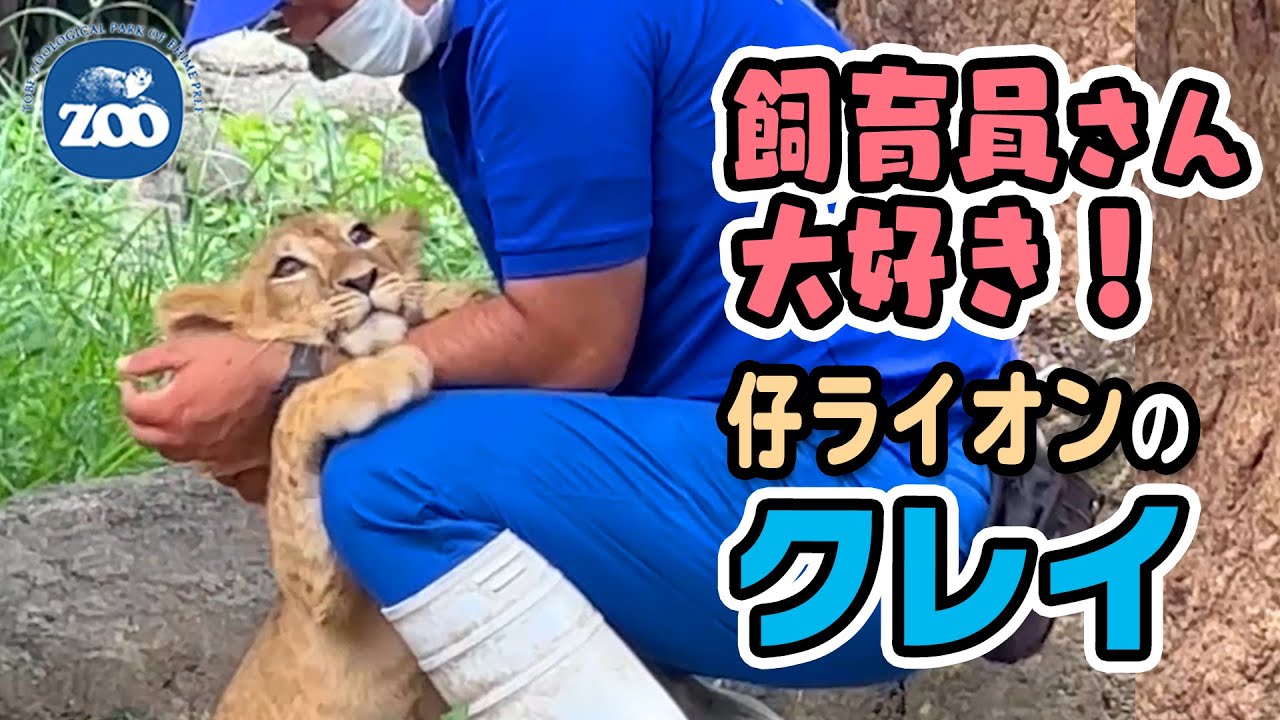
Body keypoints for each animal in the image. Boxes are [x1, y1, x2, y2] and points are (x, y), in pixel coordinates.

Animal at [140, 208, 488, 720]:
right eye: (287, 267)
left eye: (360, 234)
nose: (363, 279)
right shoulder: (313, 592)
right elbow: (294, 411)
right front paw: (384, 370)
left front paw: (450, 294)